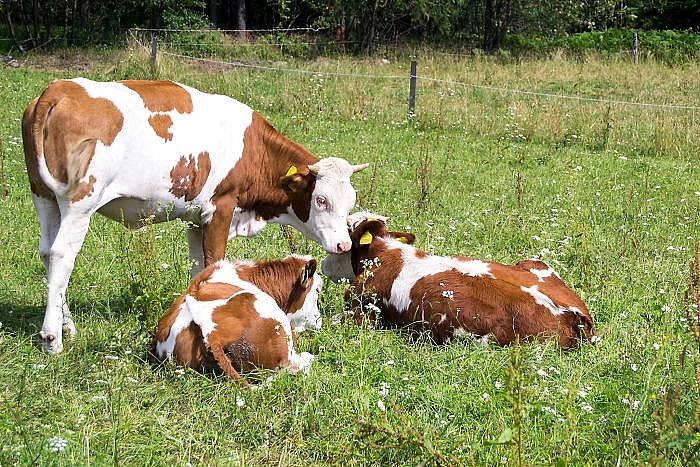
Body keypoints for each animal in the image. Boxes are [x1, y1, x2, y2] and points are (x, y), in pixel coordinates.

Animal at [22, 77, 370, 354]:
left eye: (350, 201)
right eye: (322, 200)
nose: (343, 245)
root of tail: (59, 88)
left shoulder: (195, 217)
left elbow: (197, 266)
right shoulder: (221, 207)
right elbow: (214, 259)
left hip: (44, 197)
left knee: (46, 252)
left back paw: (67, 325)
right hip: (80, 201)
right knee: (62, 255)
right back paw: (53, 337)